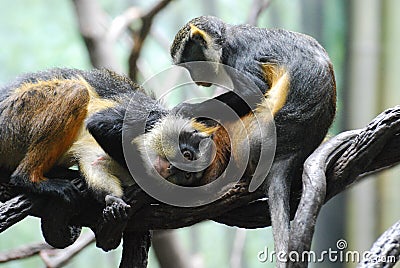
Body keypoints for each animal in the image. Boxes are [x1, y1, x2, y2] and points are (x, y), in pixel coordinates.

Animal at [167, 16, 336, 266]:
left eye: (192, 64)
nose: (196, 79)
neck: (226, 39)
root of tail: (290, 151)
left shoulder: (239, 56)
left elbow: (253, 92)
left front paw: (188, 109)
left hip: (249, 137)